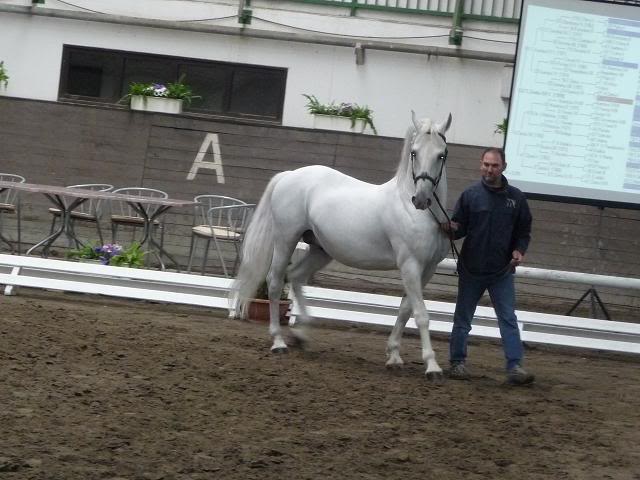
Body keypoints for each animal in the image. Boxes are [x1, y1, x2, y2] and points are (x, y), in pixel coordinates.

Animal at [232, 112, 452, 382]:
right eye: (414, 152)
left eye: (441, 154)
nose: (421, 199)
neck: (410, 209)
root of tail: (290, 175)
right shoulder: (410, 265)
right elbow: (421, 315)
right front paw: (432, 366)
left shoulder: (427, 269)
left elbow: (405, 310)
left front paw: (394, 357)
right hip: (285, 240)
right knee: (275, 282)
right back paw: (278, 342)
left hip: (320, 250)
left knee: (296, 277)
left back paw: (301, 335)